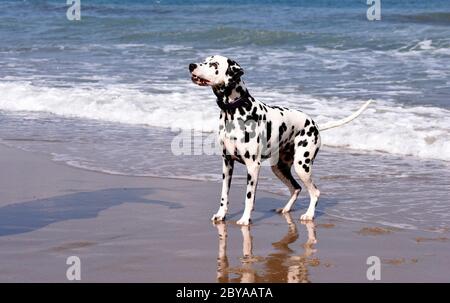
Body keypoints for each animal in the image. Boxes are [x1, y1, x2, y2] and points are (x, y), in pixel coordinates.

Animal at [188, 55, 370, 226]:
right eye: (205, 60)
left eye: (214, 64)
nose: (191, 65)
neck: (234, 111)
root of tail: (315, 124)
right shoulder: (227, 163)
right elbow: (224, 195)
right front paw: (221, 215)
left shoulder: (253, 166)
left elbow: (249, 197)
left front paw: (245, 219)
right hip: (279, 167)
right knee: (296, 188)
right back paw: (286, 209)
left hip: (302, 166)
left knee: (314, 192)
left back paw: (309, 215)